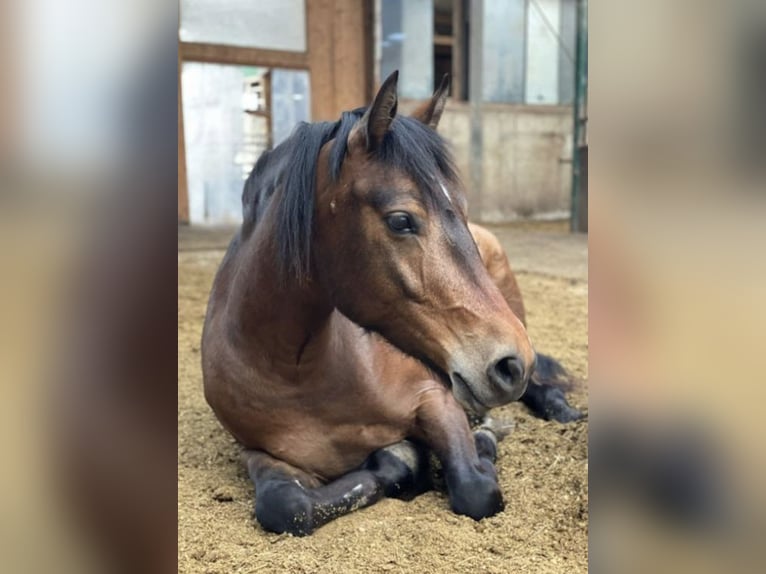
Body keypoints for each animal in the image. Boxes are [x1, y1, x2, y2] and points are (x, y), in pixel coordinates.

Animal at [202, 71, 584, 536]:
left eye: (460, 208)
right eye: (401, 220)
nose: (510, 361)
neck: (296, 373)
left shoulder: (435, 399)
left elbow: (475, 488)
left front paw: (479, 442)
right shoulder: (260, 454)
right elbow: (287, 506)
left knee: (539, 386)